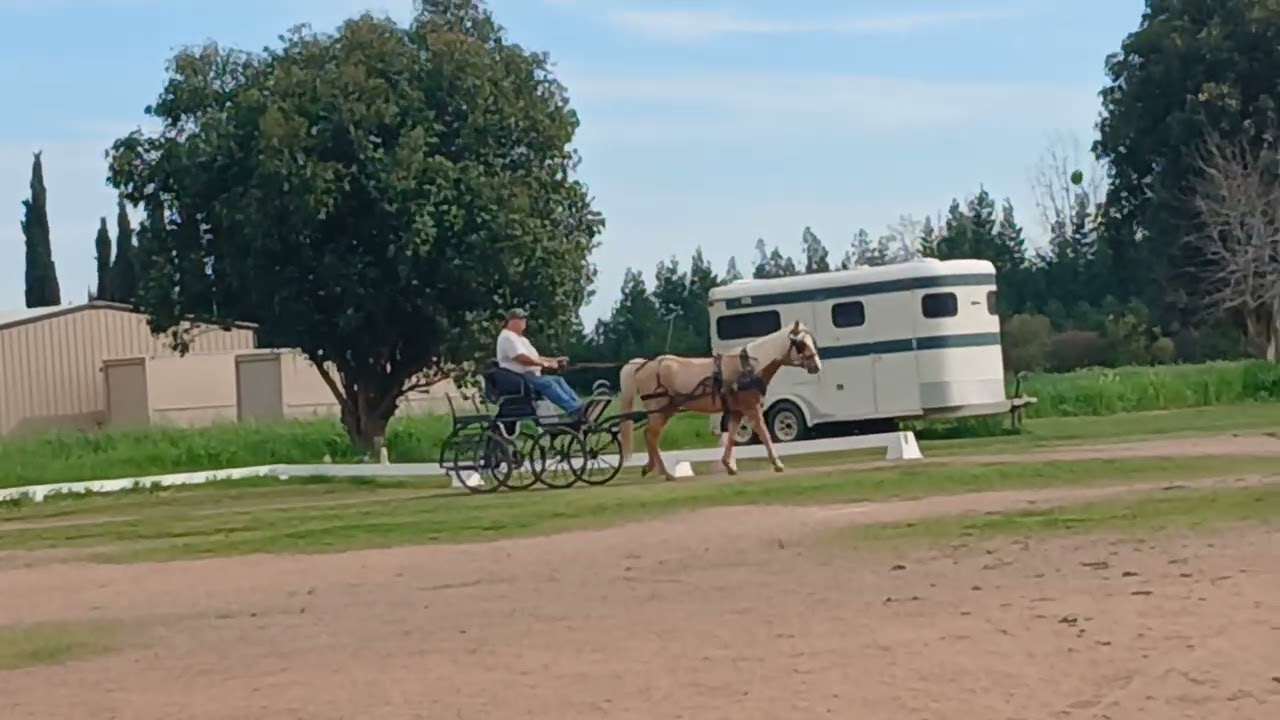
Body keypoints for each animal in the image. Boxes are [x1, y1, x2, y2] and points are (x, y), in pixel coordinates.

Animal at [616, 321, 822, 481]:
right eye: (800, 344)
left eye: (811, 341)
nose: (816, 366)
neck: (749, 368)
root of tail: (644, 365)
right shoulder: (752, 408)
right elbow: (764, 434)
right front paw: (777, 463)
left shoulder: (737, 411)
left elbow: (730, 436)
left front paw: (729, 466)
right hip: (659, 410)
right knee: (651, 435)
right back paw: (664, 472)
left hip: (666, 411)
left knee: (651, 435)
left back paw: (653, 468)